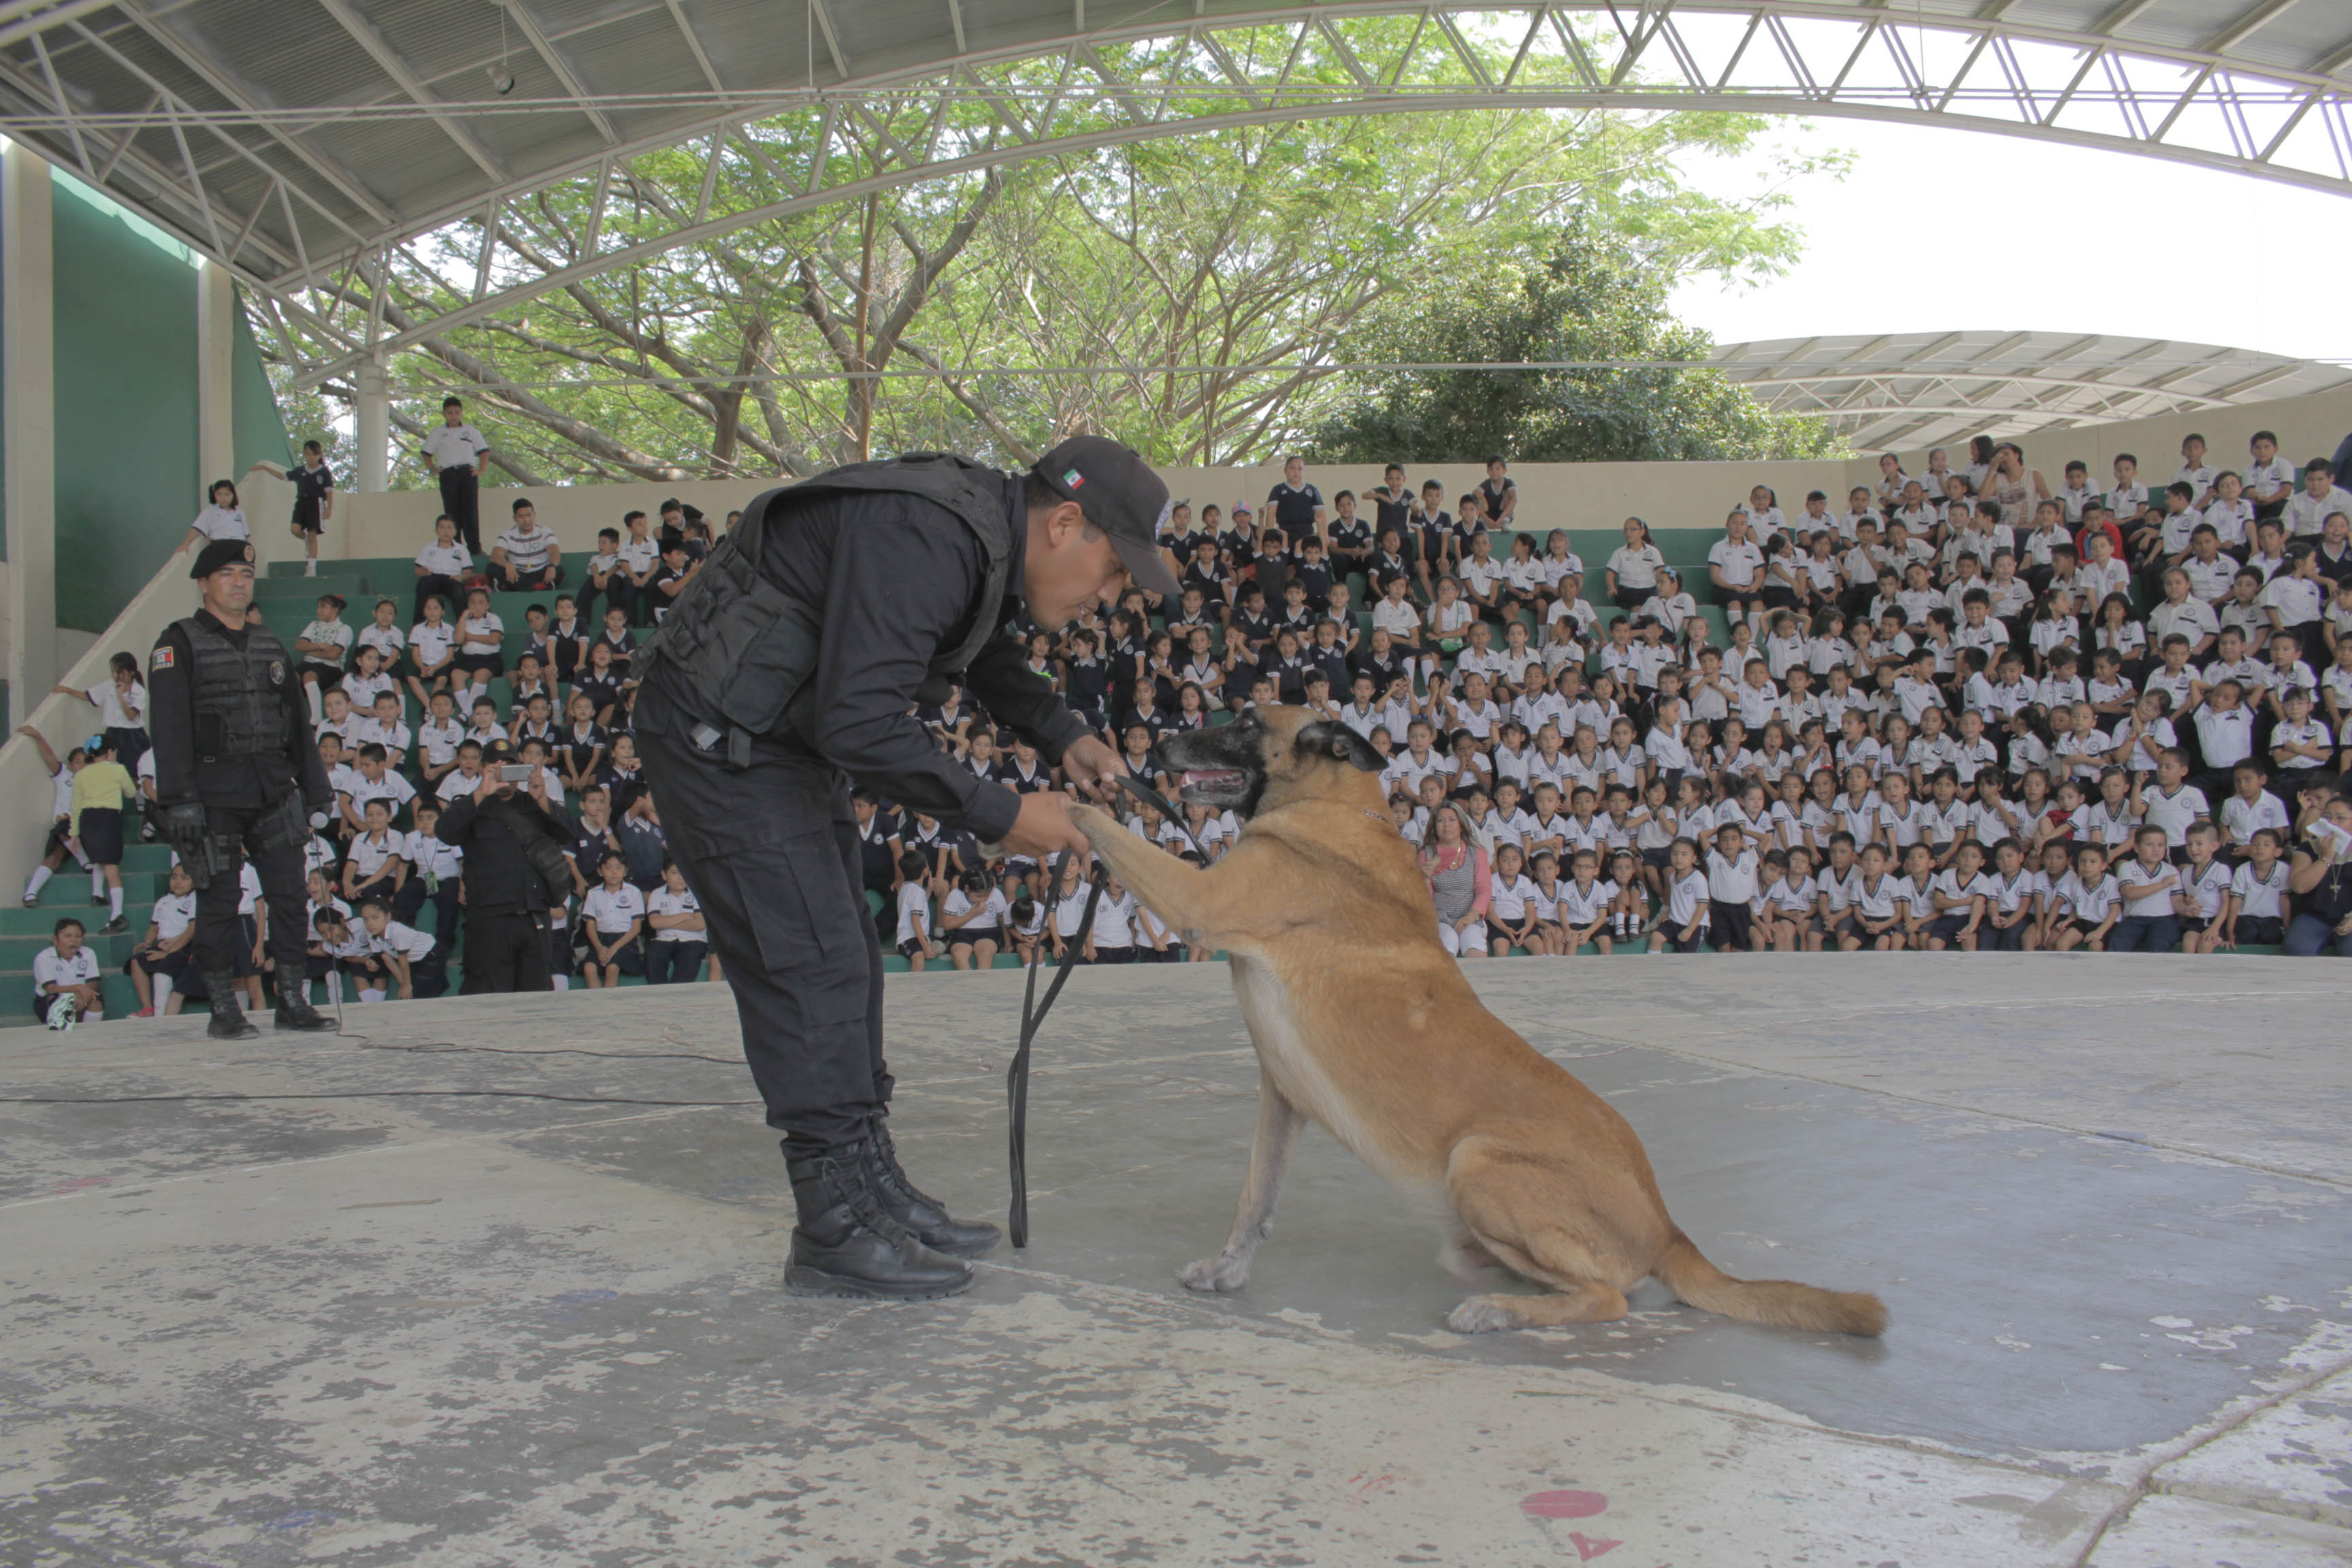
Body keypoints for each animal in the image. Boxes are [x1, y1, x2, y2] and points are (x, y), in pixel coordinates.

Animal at [1077, 710, 1881, 1335]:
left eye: (1245, 722)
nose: (1155, 745)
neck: (1332, 806)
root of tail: (1667, 1226)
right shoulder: (1282, 1096)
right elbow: (1256, 1201)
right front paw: (1229, 1269)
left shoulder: (1196, 899)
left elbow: (1101, 824)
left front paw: (1065, 790)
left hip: (1477, 1161)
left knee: (1610, 1298)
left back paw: (1504, 1311)